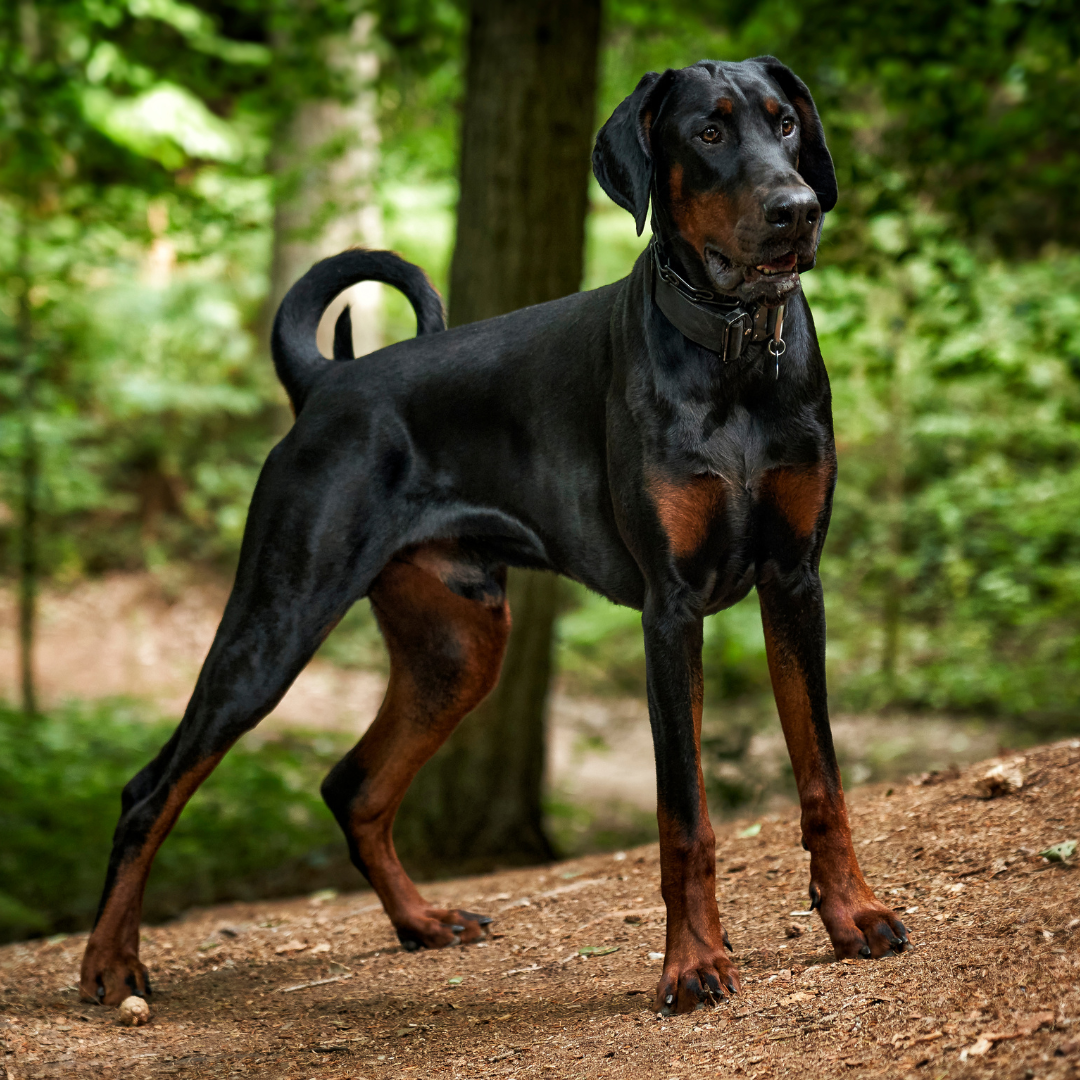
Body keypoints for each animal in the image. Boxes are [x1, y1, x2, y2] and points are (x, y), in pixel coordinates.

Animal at [79, 56, 907, 1019]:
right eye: (707, 131)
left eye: (785, 123)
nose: (797, 208)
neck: (733, 354)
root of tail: (328, 381)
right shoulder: (670, 611)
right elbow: (684, 817)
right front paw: (694, 963)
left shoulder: (795, 581)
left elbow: (822, 775)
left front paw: (853, 916)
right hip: (274, 624)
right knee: (151, 789)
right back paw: (109, 962)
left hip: (459, 645)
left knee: (353, 785)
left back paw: (422, 920)